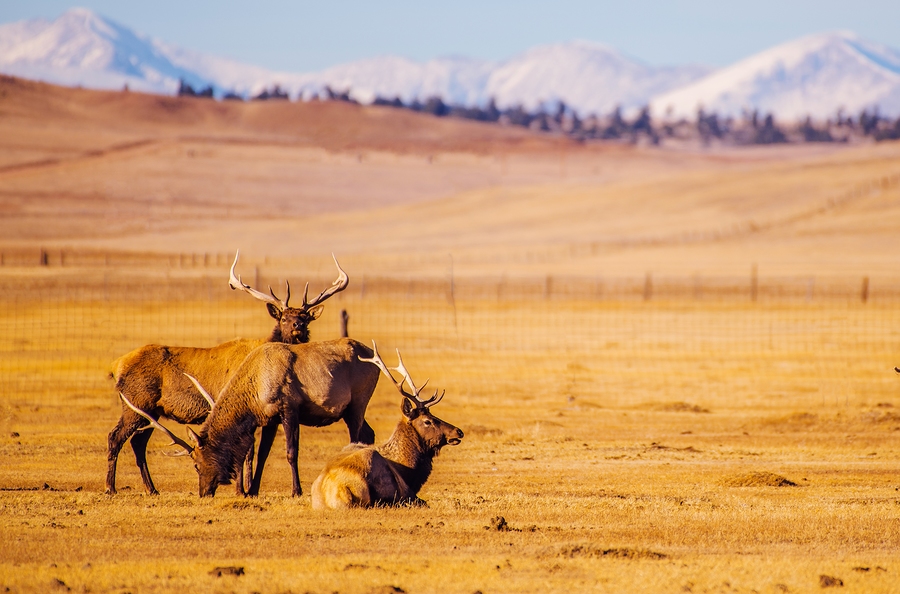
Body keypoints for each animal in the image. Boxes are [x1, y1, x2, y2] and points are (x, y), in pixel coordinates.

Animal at [102, 251, 348, 494]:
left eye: (305, 318)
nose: (297, 326)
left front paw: (248, 488)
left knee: (138, 442)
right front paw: (242, 489)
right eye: (284, 318)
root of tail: (116, 366)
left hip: (152, 411)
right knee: (116, 437)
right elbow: (248, 451)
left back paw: (151, 489)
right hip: (135, 404)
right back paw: (110, 487)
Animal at [120, 338, 380, 494]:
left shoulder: (289, 408)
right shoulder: (270, 418)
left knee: (357, 437)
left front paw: (296, 490)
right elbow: (263, 453)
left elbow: (291, 452)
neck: (256, 387)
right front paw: (252, 489)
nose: (204, 492)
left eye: (196, 464)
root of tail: (373, 355)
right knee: (368, 433)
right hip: (350, 410)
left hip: (358, 403)